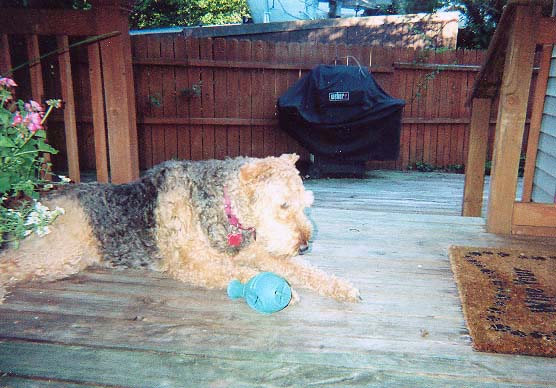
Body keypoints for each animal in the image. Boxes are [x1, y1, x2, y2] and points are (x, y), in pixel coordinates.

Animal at [0, 153, 360, 304]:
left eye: (305, 204)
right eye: (284, 205)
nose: (304, 246)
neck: (224, 205)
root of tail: (35, 205)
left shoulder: (256, 251)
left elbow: (308, 272)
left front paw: (343, 288)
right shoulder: (193, 263)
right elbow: (241, 272)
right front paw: (283, 290)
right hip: (58, 255)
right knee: (9, 262)